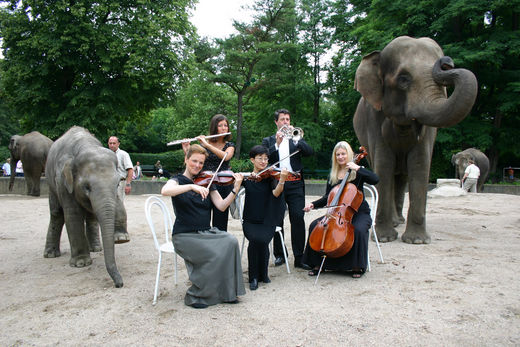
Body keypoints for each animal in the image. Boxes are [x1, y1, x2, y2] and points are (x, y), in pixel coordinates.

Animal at [44, 127, 130, 288]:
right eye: (86, 187)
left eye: (118, 183)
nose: (119, 284)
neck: (86, 146)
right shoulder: (63, 181)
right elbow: (73, 214)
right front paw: (81, 263)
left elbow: (117, 203)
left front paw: (121, 239)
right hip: (50, 184)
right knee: (57, 213)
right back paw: (50, 255)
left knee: (90, 216)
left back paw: (96, 248)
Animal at [356, 36, 478, 245]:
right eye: (403, 79)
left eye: (443, 86)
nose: (446, 62)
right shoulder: (373, 118)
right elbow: (384, 164)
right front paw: (385, 238)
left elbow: (419, 163)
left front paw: (417, 241)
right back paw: (394, 223)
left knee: (401, 177)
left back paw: (399, 221)